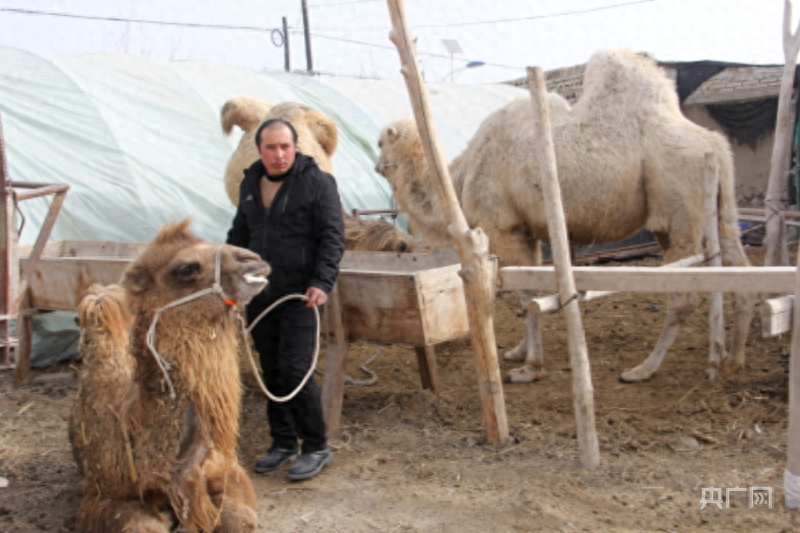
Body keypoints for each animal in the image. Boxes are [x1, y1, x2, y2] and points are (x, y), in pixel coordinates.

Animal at [69, 218, 268, 528]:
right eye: (187, 269)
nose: (253, 259)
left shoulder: (223, 469)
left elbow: (240, 518)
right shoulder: (102, 497)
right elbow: (143, 525)